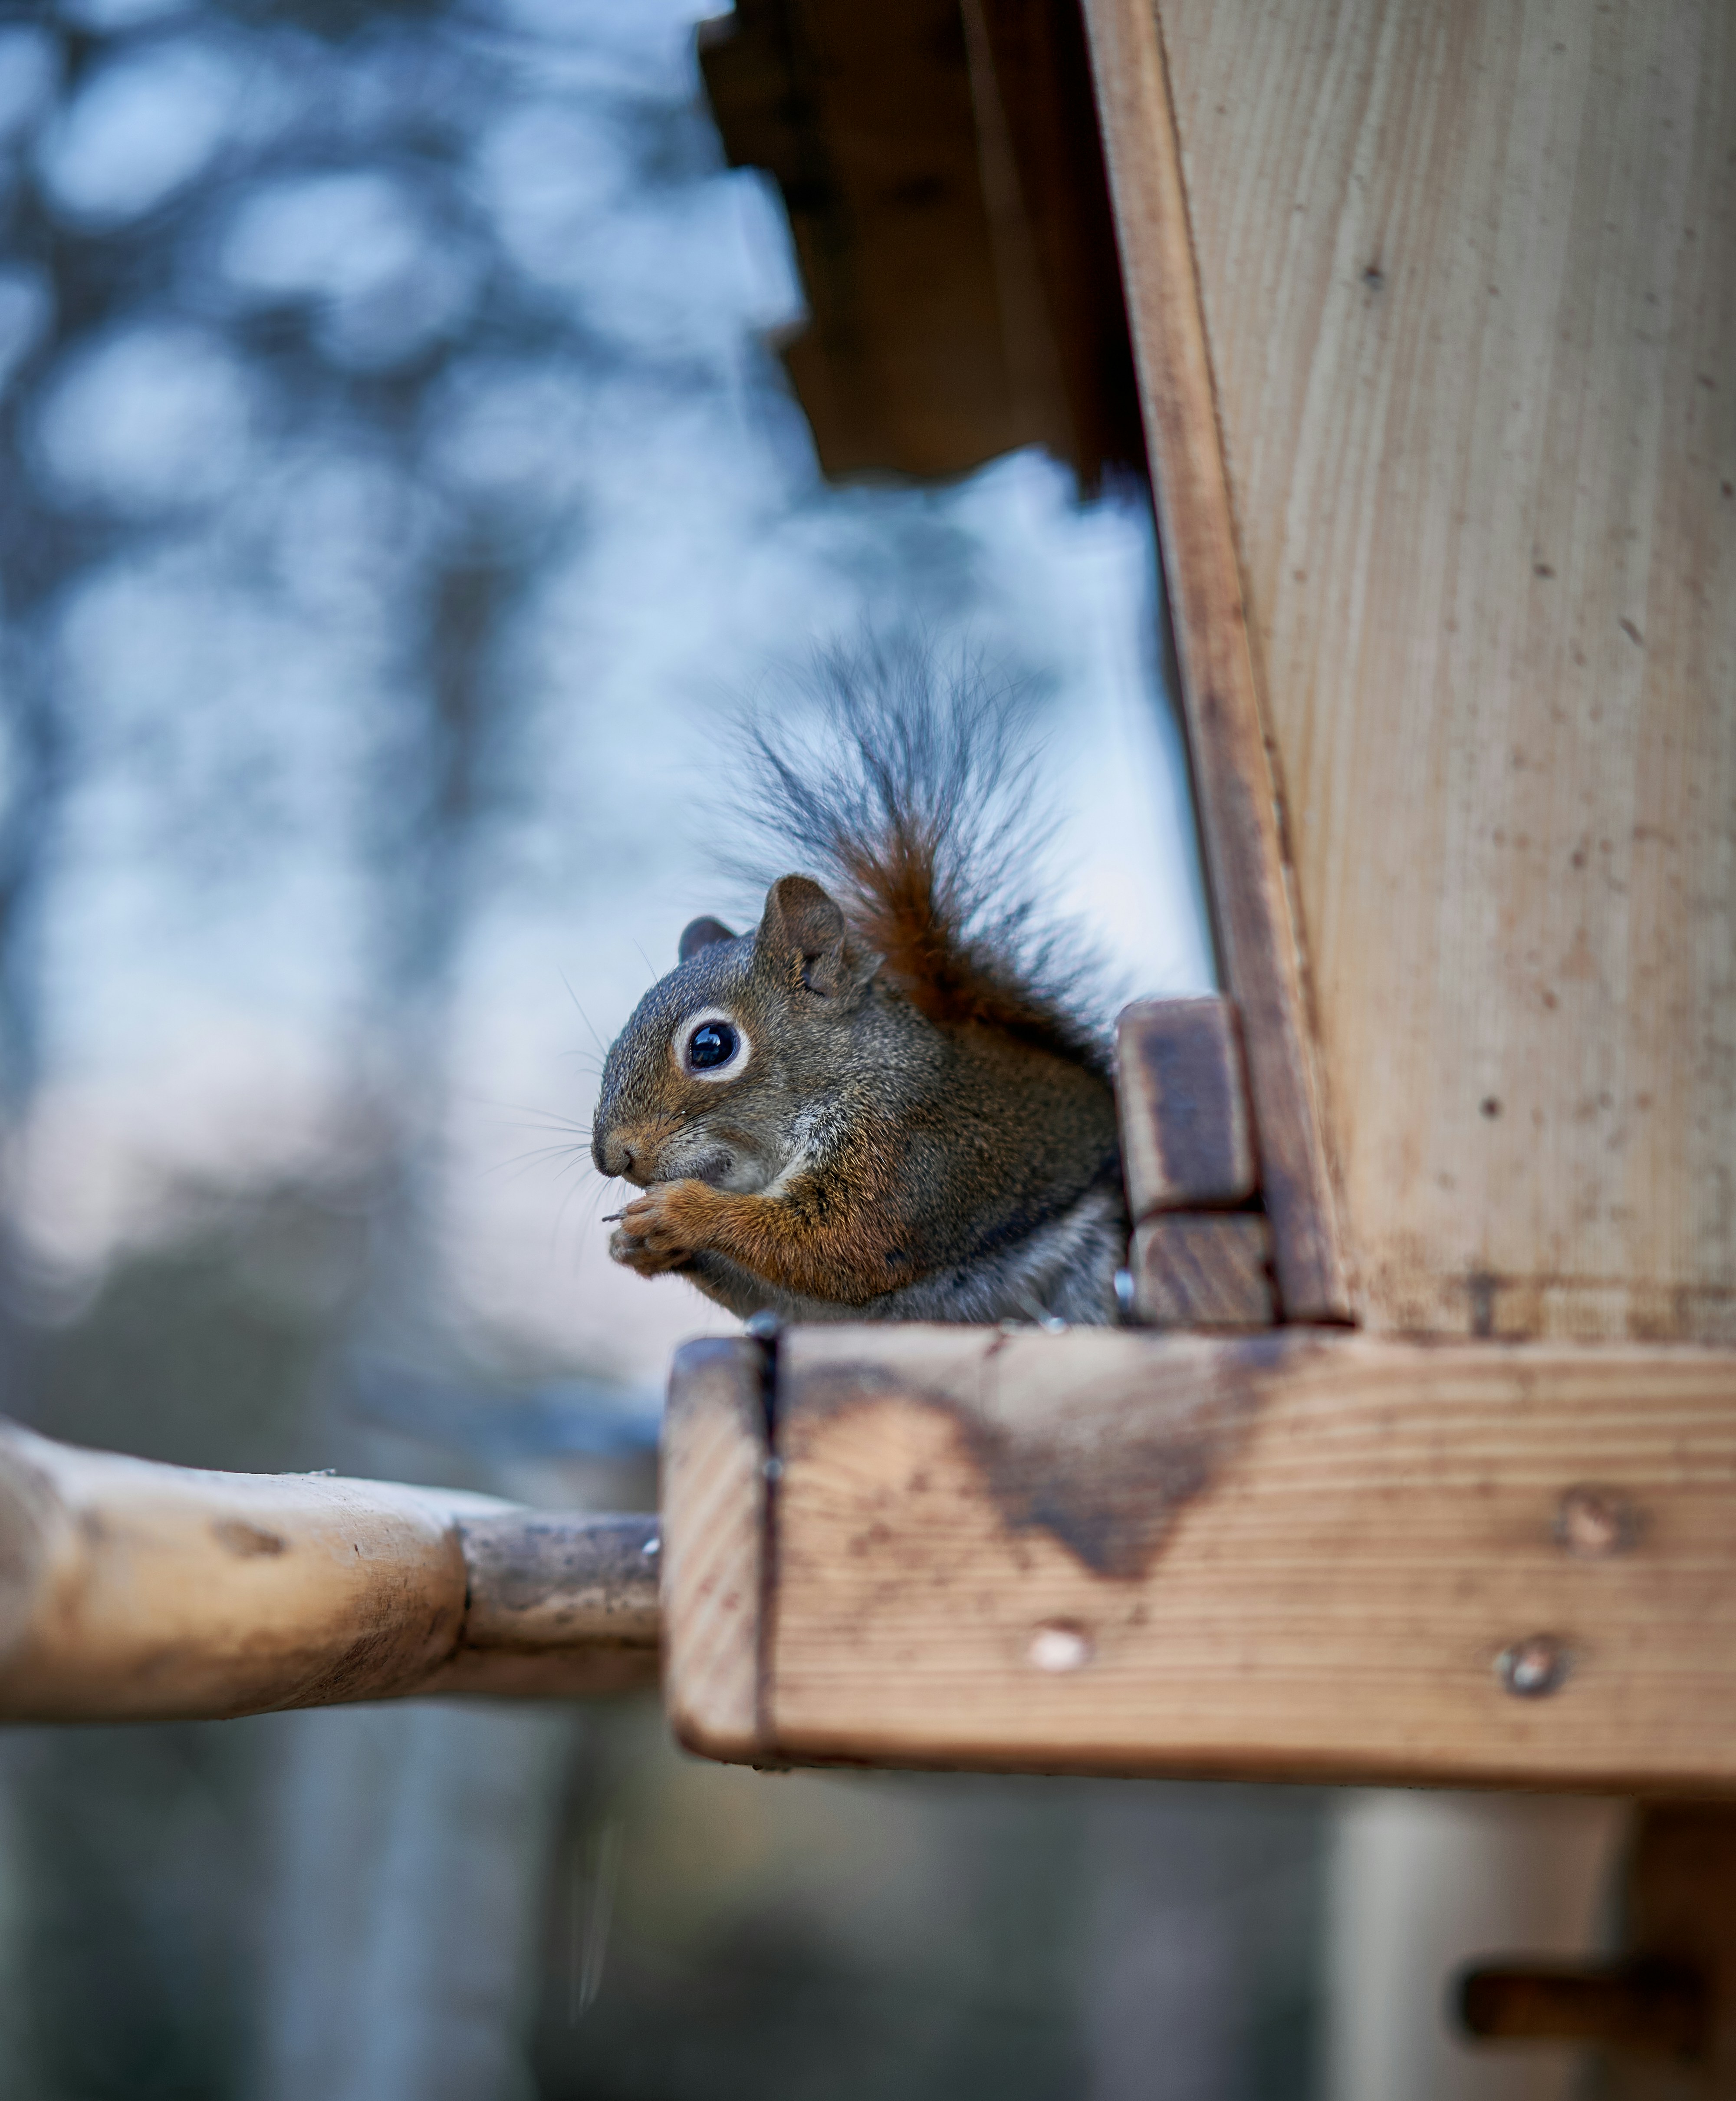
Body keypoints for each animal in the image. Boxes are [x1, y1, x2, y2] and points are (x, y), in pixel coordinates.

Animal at [589, 646, 1127, 1325]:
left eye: (711, 1046)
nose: (613, 1158)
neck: (855, 1069)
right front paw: (634, 1244)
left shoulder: (902, 1149)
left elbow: (843, 1244)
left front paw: (683, 1211)